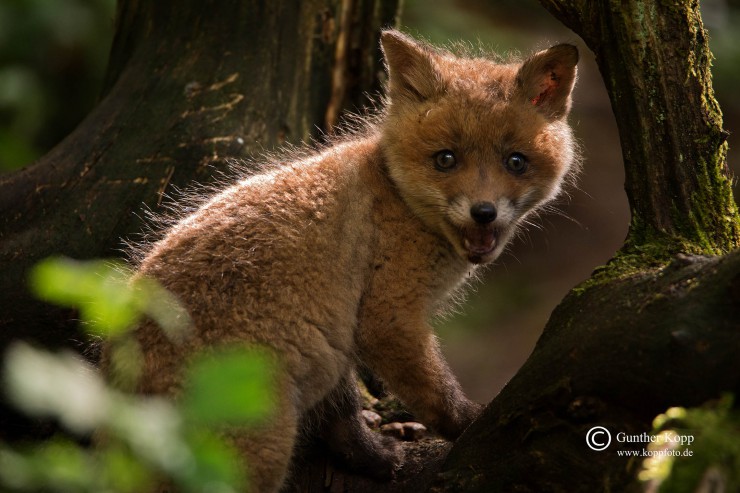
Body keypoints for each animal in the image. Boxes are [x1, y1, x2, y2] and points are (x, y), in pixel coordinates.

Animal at [107, 29, 580, 488]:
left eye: (515, 162)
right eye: (446, 159)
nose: (484, 212)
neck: (396, 196)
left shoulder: (334, 335)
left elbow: (343, 418)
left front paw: (373, 456)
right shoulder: (385, 319)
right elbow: (434, 394)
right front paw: (469, 423)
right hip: (261, 447)